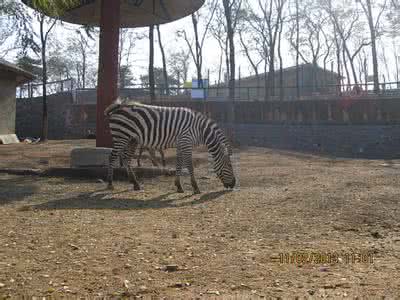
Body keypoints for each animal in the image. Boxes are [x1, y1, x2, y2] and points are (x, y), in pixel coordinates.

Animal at [104, 99, 236, 193]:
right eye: (229, 165)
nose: (233, 184)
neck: (200, 130)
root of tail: (118, 106)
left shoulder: (181, 143)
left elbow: (179, 164)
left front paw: (179, 186)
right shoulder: (186, 142)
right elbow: (189, 165)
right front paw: (195, 187)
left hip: (132, 139)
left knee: (126, 158)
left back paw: (135, 183)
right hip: (121, 136)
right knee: (112, 157)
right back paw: (110, 184)